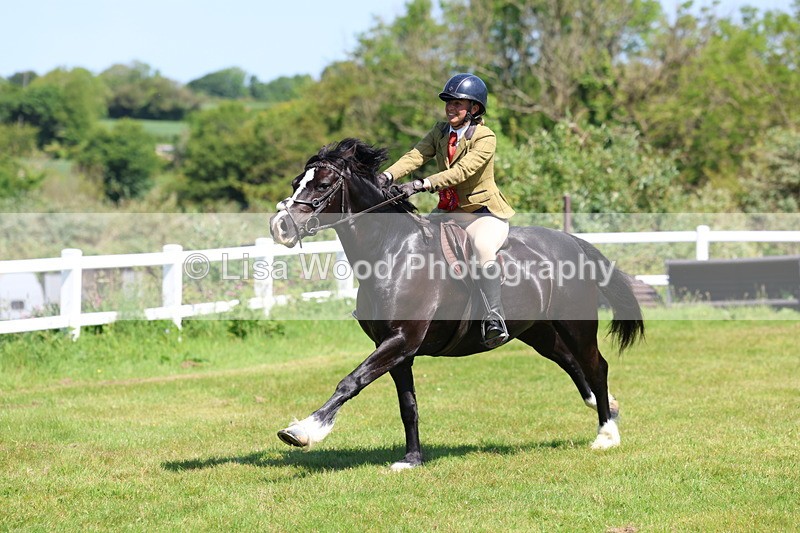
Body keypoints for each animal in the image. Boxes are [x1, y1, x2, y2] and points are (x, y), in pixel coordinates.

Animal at [269, 138, 644, 470]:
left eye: (322, 185)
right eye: (297, 183)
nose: (279, 226)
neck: (391, 252)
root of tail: (572, 242)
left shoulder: (401, 340)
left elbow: (351, 381)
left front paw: (303, 430)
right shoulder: (396, 348)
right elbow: (408, 405)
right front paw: (412, 459)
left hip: (576, 325)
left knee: (596, 366)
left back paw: (607, 435)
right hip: (537, 331)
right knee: (569, 361)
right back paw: (608, 407)